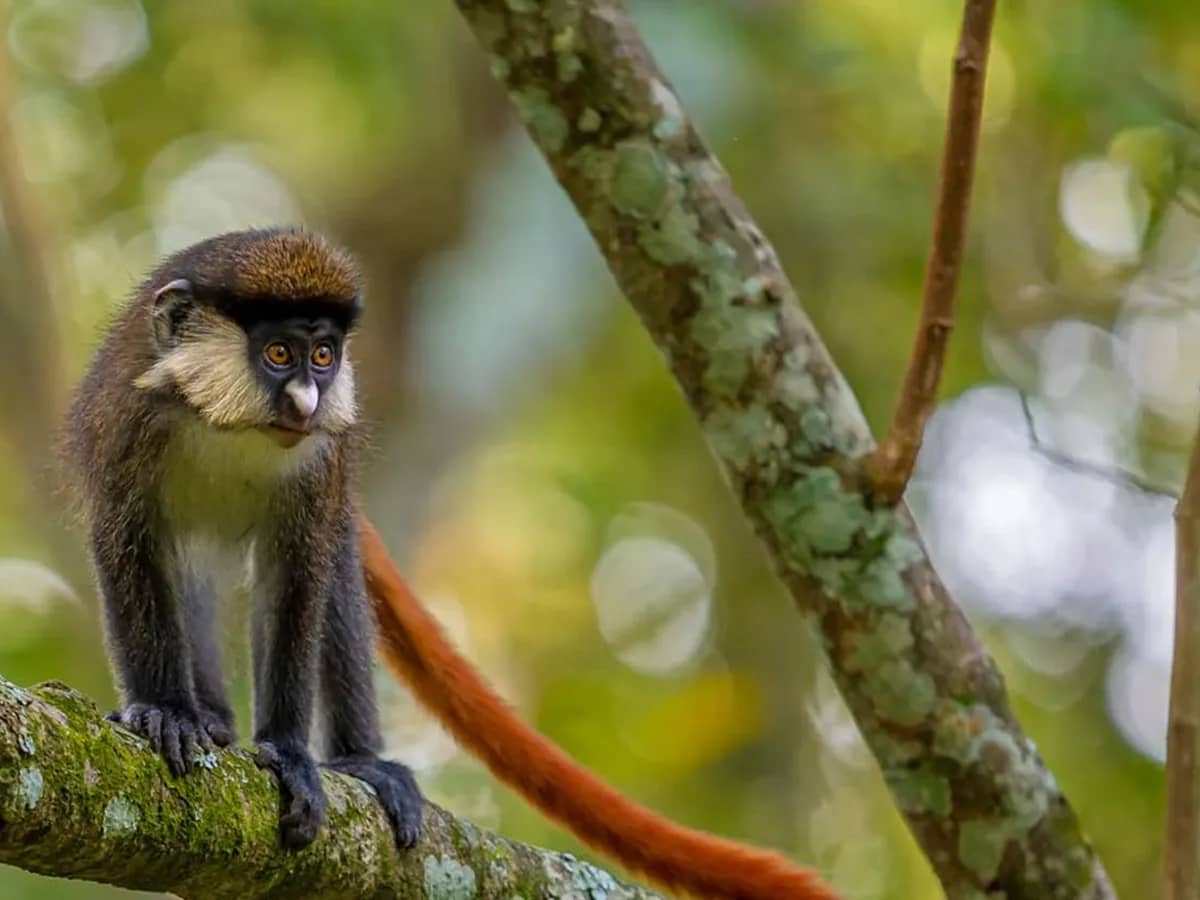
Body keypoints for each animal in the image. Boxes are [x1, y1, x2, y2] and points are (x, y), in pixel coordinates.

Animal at [63, 227, 840, 900]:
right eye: (278, 354)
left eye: (324, 356)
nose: (311, 400)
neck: (228, 425)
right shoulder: (125, 429)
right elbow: (129, 544)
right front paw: (165, 712)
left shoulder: (323, 470)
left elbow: (301, 577)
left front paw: (287, 752)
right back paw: (212, 721)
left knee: (335, 581)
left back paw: (357, 760)